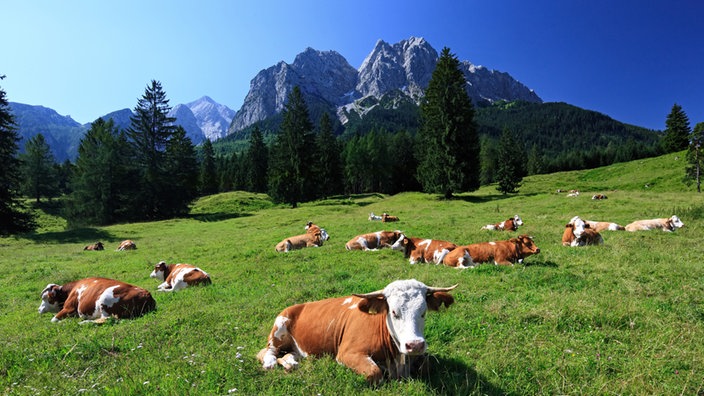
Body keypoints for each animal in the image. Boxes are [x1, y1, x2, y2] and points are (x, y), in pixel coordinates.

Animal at [258, 278, 456, 384]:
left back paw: (290, 363)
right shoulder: (348, 353)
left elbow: (427, 364)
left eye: (423, 312)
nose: (414, 345)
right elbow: (374, 373)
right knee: (267, 351)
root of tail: (296, 306)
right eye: (394, 312)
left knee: (289, 354)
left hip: (298, 348)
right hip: (278, 329)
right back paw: (270, 362)